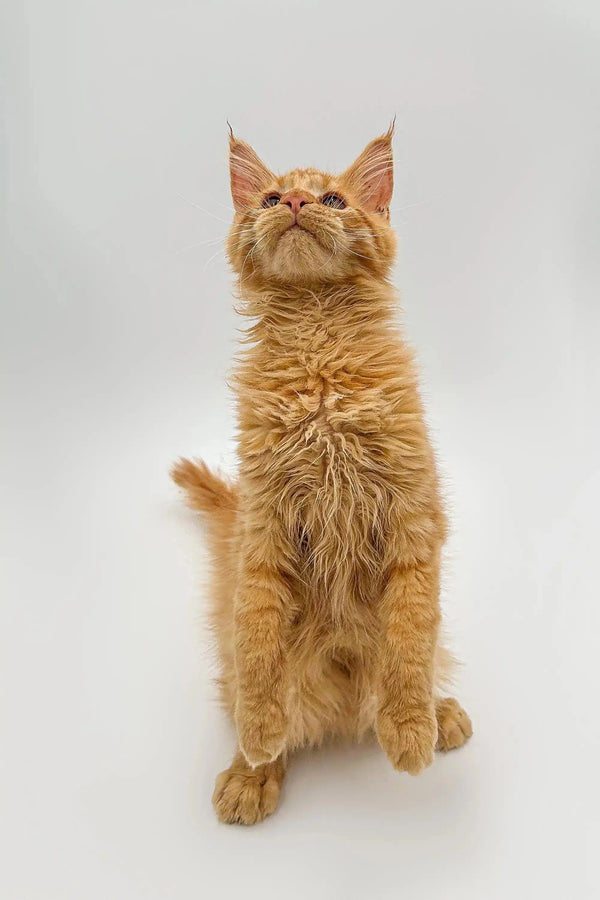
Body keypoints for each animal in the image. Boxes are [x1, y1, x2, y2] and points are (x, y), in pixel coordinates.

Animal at [171, 125, 472, 824]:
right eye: (271, 197)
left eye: (333, 199)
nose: (297, 203)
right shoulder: (261, 530)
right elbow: (258, 641)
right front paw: (260, 735)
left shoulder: (415, 520)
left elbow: (410, 638)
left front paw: (410, 729)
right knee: (261, 701)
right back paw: (251, 772)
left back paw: (439, 715)